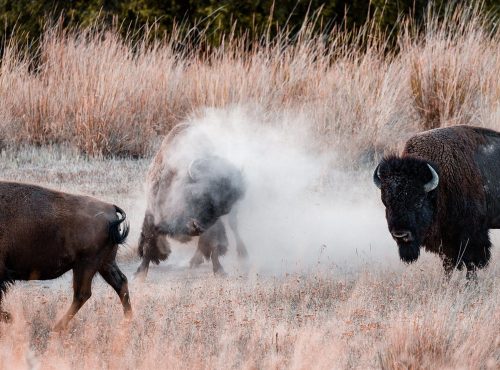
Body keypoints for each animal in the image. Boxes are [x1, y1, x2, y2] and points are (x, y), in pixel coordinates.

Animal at [0, 182, 131, 330]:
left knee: (82, 294)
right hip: (105, 263)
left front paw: (9, 317)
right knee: (120, 283)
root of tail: (111, 208)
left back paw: (56, 328)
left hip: (86, 265)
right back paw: (127, 321)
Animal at [135, 122, 248, 280]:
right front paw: (139, 275)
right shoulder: (152, 214)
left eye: (223, 210)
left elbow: (213, 245)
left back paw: (240, 253)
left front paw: (219, 271)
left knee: (233, 227)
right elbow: (148, 243)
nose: (197, 227)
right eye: (198, 195)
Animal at [374, 125, 498, 278]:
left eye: (418, 202)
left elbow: (471, 264)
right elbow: (448, 265)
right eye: (386, 203)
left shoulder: (472, 236)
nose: (401, 235)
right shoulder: (446, 242)